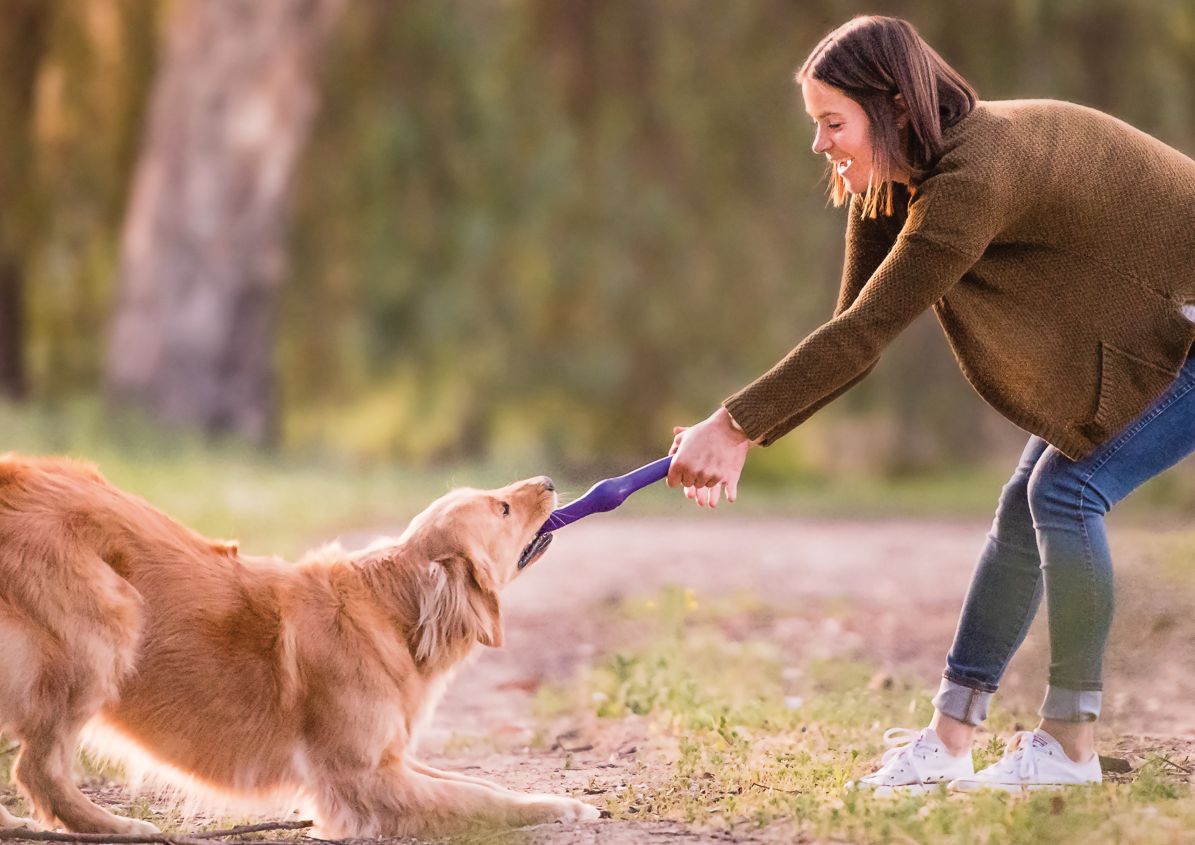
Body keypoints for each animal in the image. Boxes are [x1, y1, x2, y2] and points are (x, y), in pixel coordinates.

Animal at [0, 451, 597, 836]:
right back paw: (117, 826)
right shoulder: (366, 778)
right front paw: (566, 810)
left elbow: (475, 783)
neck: (391, 614)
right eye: (501, 509)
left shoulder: (390, 757)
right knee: (37, 770)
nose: (548, 478)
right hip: (110, 621)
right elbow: (476, 797)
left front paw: (557, 801)